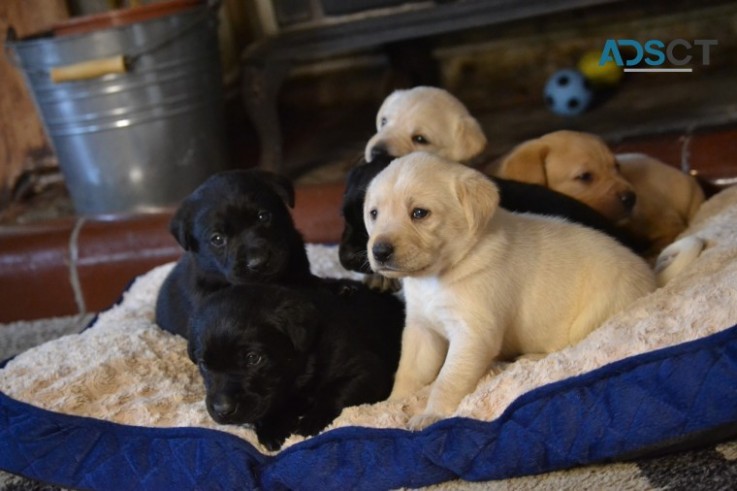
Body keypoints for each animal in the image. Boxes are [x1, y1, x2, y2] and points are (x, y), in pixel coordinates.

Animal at [190, 282, 406, 452]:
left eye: (253, 358)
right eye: (204, 364)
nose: (222, 410)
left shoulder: (367, 370)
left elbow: (335, 391)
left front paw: (311, 421)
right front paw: (273, 426)